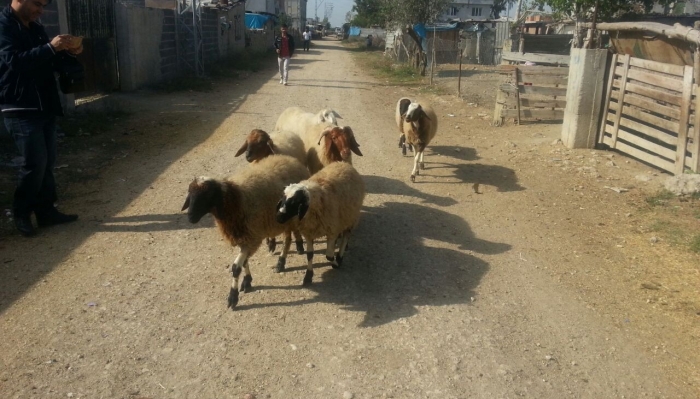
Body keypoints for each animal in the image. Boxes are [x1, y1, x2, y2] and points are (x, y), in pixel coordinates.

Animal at [180, 154, 308, 310]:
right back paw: (293, 250)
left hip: (288, 218)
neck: (235, 201)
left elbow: (236, 268)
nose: (190, 217)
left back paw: (282, 261)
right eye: (190, 193)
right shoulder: (243, 238)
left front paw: (233, 297)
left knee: (287, 240)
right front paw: (247, 281)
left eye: (208, 195)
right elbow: (245, 262)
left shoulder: (251, 239)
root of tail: (290, 159)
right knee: (290, 236)